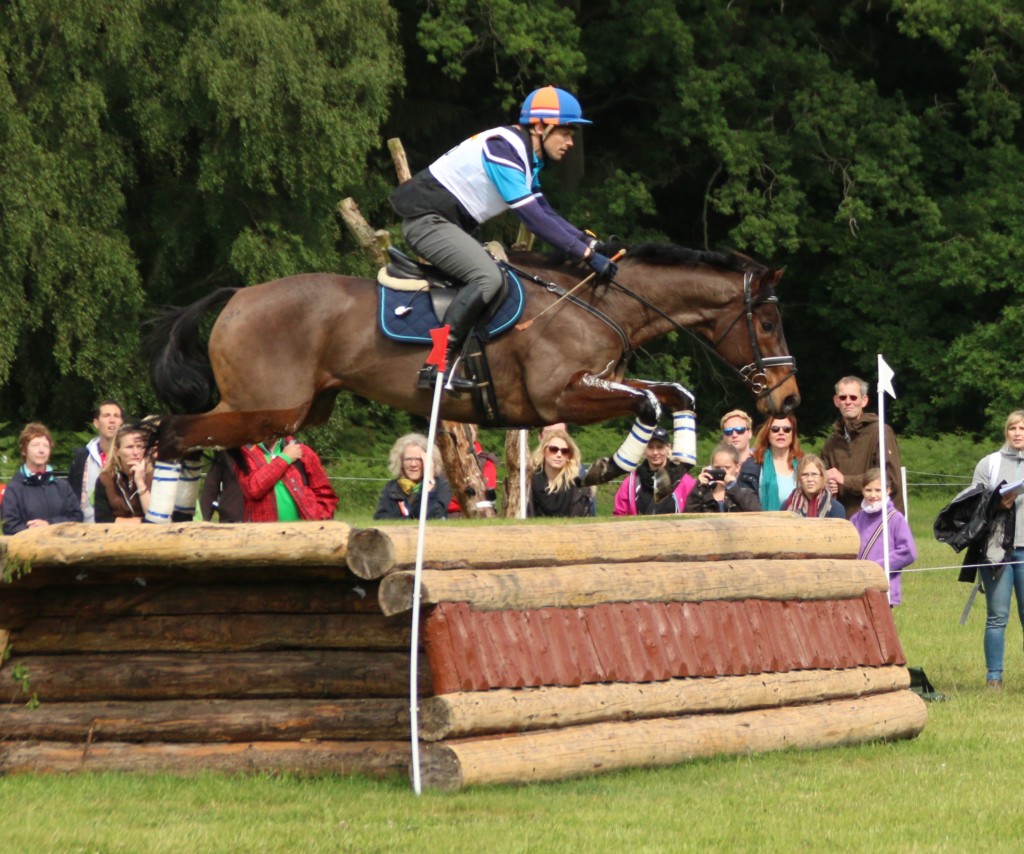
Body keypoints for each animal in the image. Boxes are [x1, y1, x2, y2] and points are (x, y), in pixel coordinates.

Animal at [144, 239, 798, 520]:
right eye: (767, 323)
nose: (788, 398)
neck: (599, 303)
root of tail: (239, 296)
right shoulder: (560, 394)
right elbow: (648, 404)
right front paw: (615, 468)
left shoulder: (600, 382)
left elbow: (672, 395)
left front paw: (669, 469)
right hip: (272, 406)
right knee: (172, 431)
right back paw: (163, 520)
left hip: (298, 408)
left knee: (188, 437)